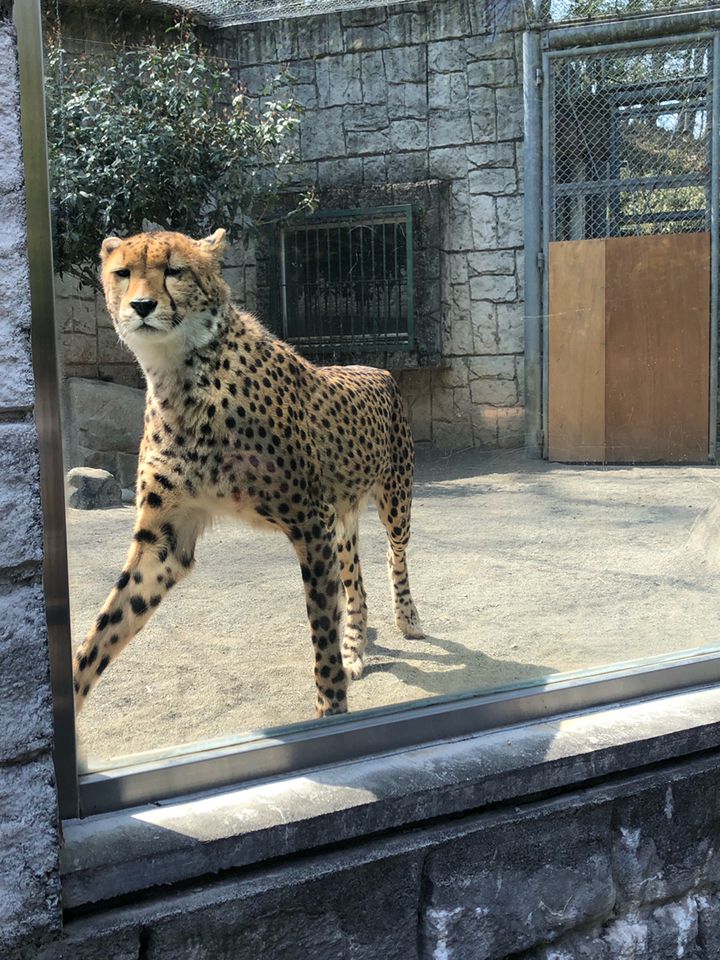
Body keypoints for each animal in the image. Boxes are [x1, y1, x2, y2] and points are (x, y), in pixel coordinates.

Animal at [73, 229, 422, 716]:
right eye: (122, 272)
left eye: (174, 271)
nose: (141, 306)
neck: (182, 377)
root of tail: (374, 367)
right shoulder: (165, 540)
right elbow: (105, 629)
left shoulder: (310, 521)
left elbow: (321, 634)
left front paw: (331, 708)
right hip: (343, 513)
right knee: (354, 576)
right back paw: (355, 647)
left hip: (394, 499)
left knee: (395, 554)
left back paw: (406, 619)